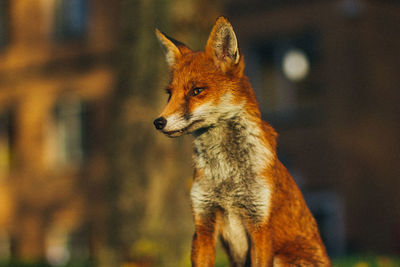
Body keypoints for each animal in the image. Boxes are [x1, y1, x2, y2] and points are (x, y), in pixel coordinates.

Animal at [153, 16, 332, 267]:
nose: (158, 122)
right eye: (169, 94)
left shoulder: (260, 225)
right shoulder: (203, 224)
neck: (226, 175)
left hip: (282, 258)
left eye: (196, 91)